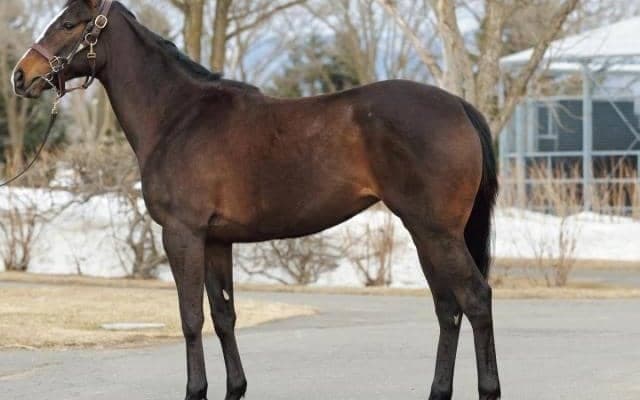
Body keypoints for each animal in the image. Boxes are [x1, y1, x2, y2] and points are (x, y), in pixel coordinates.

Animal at [12, 1, 501, 399]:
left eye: (69, 24)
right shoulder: (215, 241)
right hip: (425, 234)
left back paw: (489, 389)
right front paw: (235, 388)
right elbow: (223, 315)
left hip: (437, 233)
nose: (21, 75)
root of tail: (458, 106)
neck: (178, 116)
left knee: (475, 299)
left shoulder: (182, 235)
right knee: (448, 309)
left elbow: (191, 317)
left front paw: (195, 390)